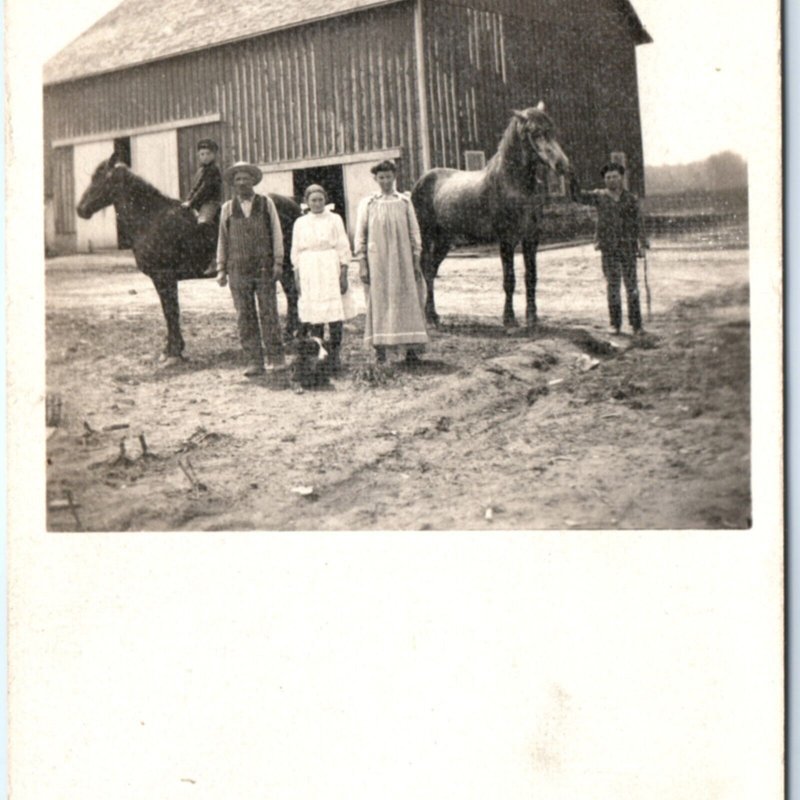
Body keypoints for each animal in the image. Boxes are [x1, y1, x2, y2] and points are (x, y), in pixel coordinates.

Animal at [76, 153, 302, 368]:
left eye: (100, 178)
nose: (80, 209)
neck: (152, 218)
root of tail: (292, 203)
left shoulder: (164, 277)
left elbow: (171, 312)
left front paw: (174, 352)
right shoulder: (162, 279)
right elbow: (170, 312)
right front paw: (171, 350)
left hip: (284, 264)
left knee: (291, 293)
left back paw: (291, 333)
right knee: (291, 293)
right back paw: (291, 332)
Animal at [412, 103, 576, 328]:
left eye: (552, 130)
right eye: (535, 133)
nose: (562, 165)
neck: (514, 184)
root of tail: (421, 181)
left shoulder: (531, 238)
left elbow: (531, 277)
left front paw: (532, 318)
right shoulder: (506, 240)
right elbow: (509, 280)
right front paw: (509, 320)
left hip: (445, 240)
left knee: (432, 269)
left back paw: (434, 315)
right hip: (428, 236)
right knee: (427, 269)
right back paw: (429, 317)